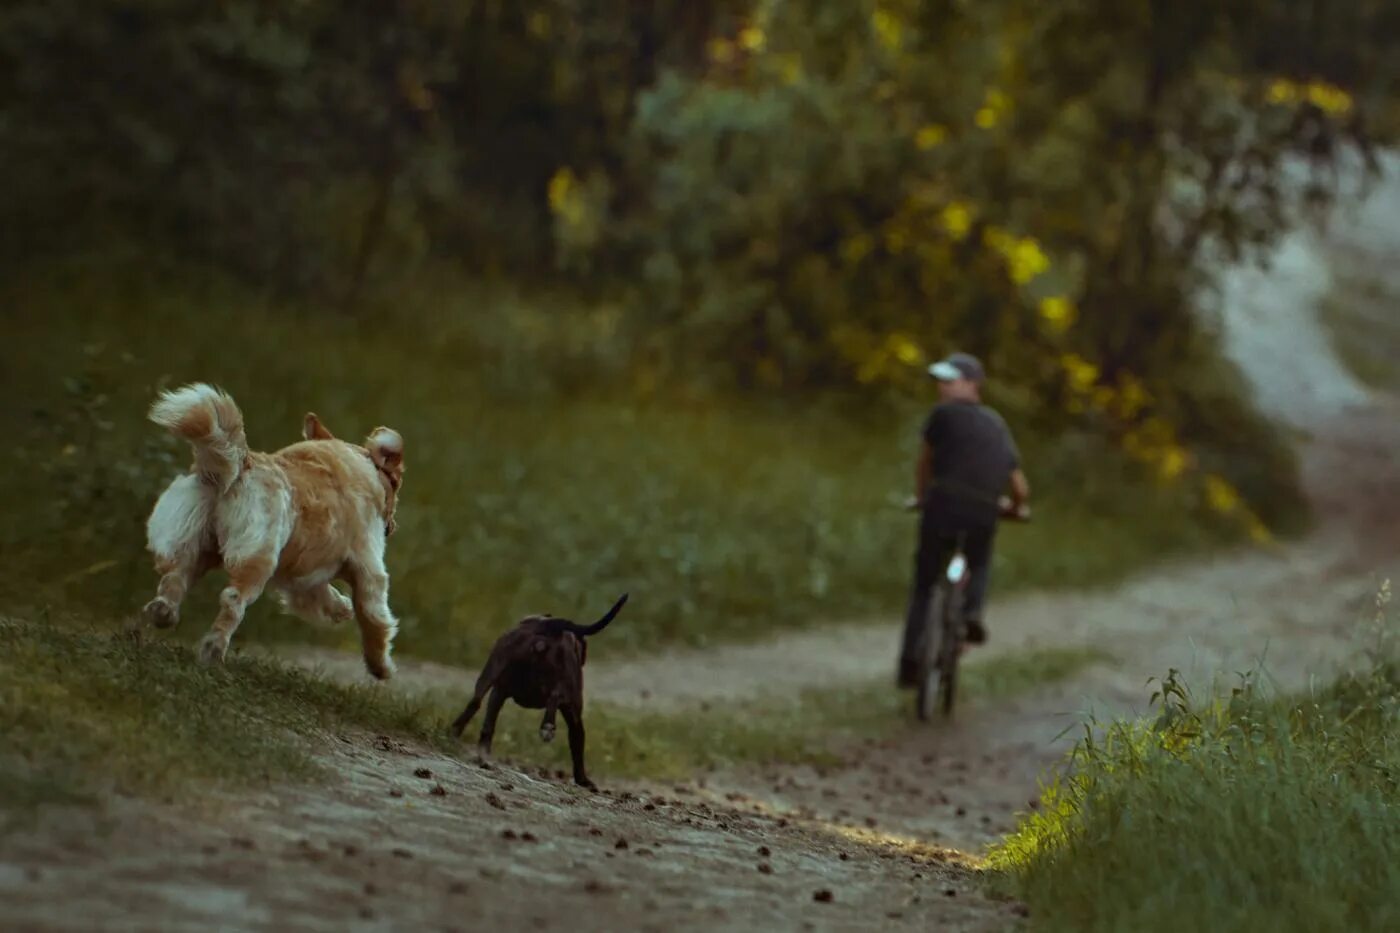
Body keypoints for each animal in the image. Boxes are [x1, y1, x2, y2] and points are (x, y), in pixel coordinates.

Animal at [140, 381, 406, 680]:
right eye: (396, 485)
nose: (392, 525)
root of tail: (240, 465)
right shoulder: (370, 572)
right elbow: (375, 621)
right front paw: (381, 666)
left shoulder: (304, 576)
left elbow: (325, 595)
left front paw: (341, 609)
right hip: (258, 559)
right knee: (232, 601)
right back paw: (213, 650)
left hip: (192, 546)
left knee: (173, 580)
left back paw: (163, 612)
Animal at [450, 588, 627, 784]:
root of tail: (546, 627)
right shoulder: (574, 713)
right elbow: (577, 745)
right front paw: (583, 780)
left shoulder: (498, 692)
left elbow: (488, 725)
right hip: (566, 690)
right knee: (555, 697)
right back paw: (547, 728)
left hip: (491, 670)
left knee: (475, 702)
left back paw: (456, 735)